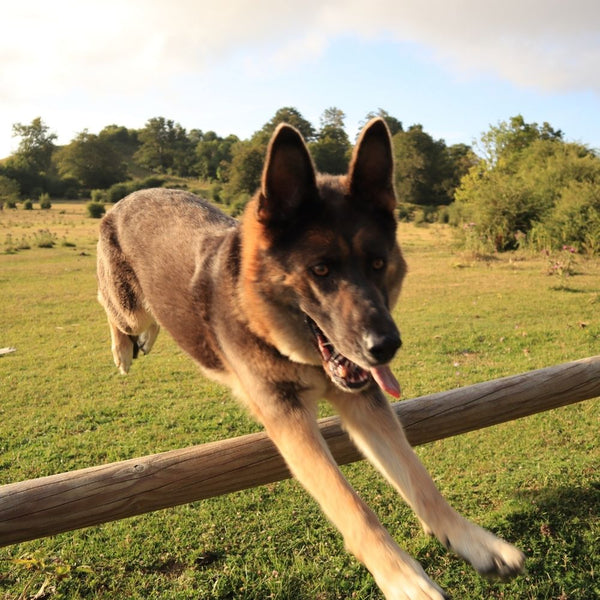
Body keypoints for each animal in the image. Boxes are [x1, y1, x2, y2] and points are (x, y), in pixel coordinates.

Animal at [96, 118, 524, 600]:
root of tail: (134, 194)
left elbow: (419, 479)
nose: (386, 347)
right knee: (112, 307)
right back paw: (125, 347)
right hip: (125, 303)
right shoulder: (289, 420)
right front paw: (403, 578)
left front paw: (471, 540)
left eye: (378, 264)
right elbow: (353, 507)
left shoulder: (366, 403)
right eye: (320, 270)